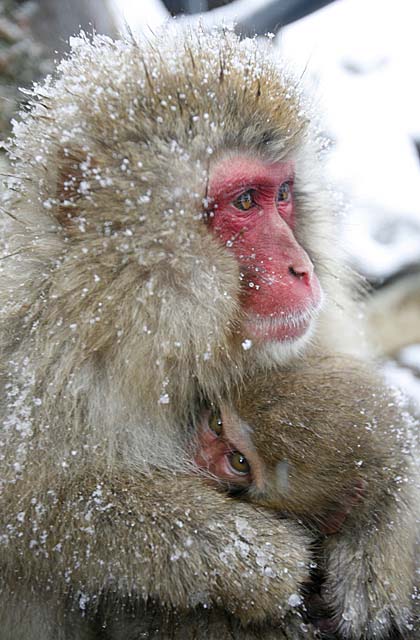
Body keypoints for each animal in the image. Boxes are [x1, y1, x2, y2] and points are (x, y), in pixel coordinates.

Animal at [0, 27, 370, 636]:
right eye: (244, 201)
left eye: (283, 196)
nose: (302, 269)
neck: (117, 323)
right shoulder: (28, 373)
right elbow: (41, 516)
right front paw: (251, 558)